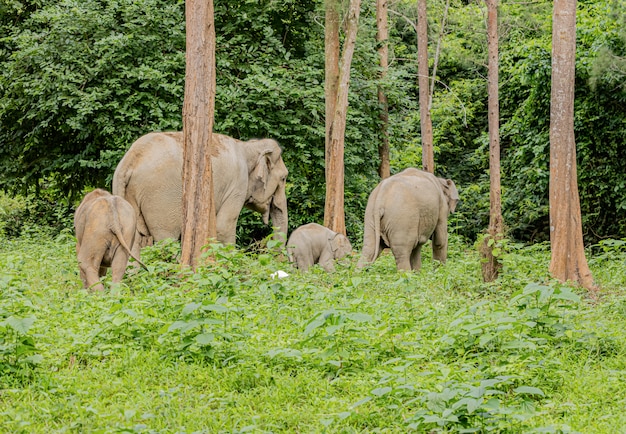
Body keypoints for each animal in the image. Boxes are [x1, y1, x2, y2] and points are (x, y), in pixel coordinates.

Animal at [112, 132, 288, 260]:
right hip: (159, 197)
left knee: (134, 239)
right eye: (284, 178)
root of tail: (130, 160)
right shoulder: (238, 183)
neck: (248, 147)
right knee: (166, 239)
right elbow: (223, 227)